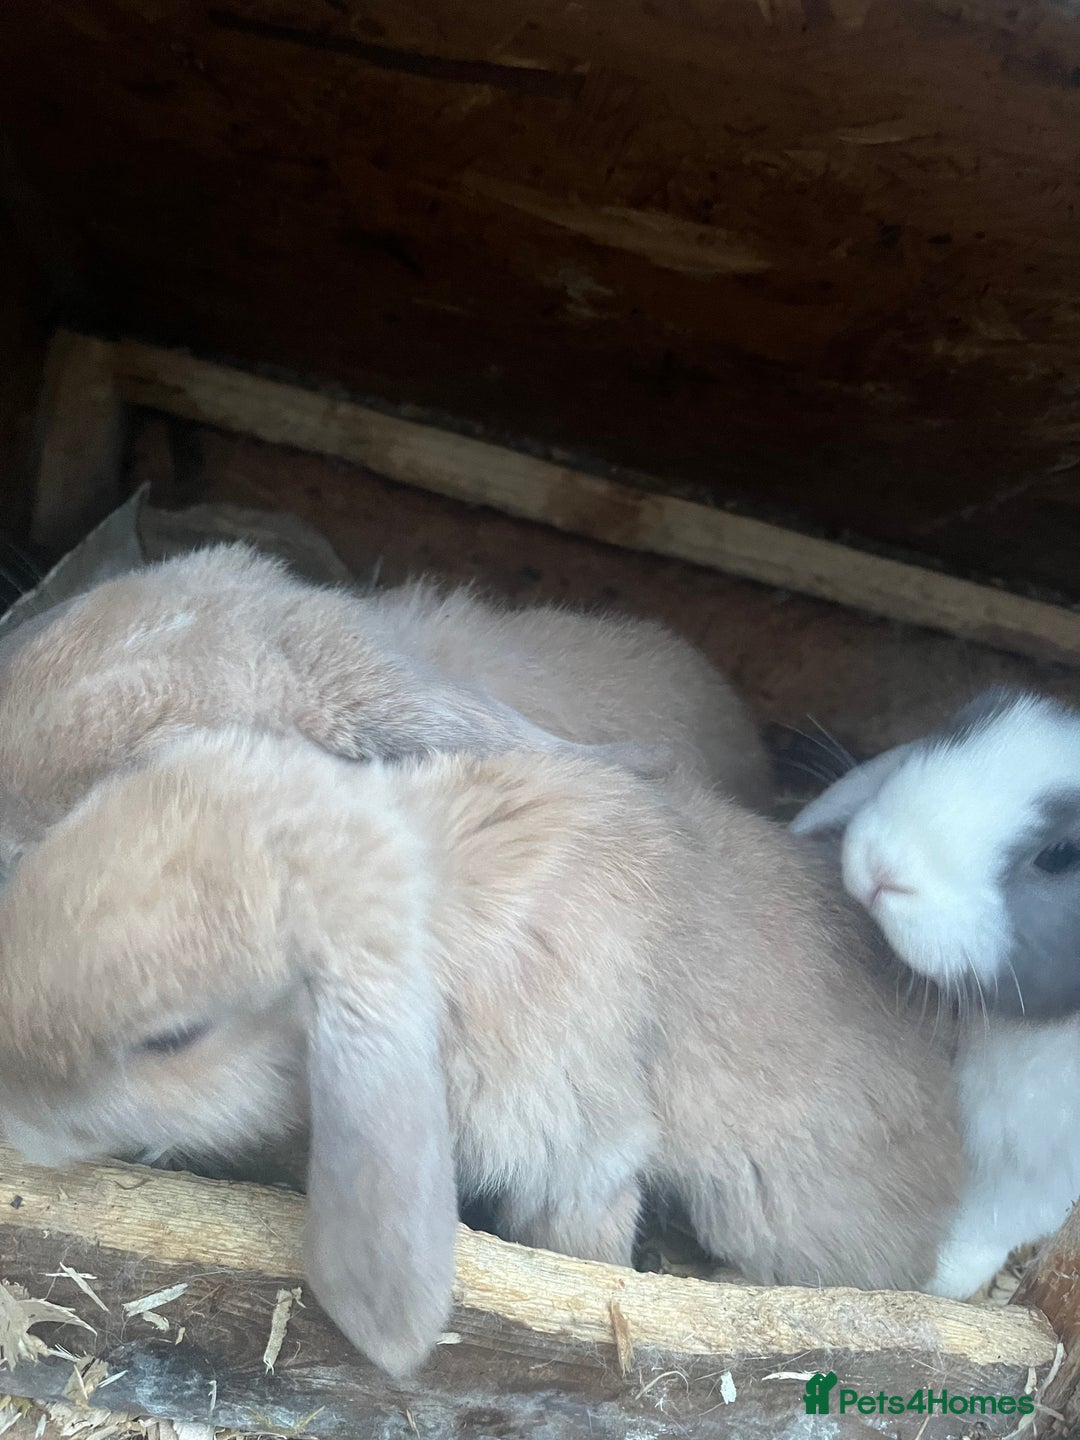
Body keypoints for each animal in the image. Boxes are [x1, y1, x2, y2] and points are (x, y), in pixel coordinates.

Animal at [791, 686, 1080, 1299]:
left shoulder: (1041, 1171)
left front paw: (936, 1281)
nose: (884, 864)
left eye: (1063, 854)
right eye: (970, 719)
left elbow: (988, 1224)